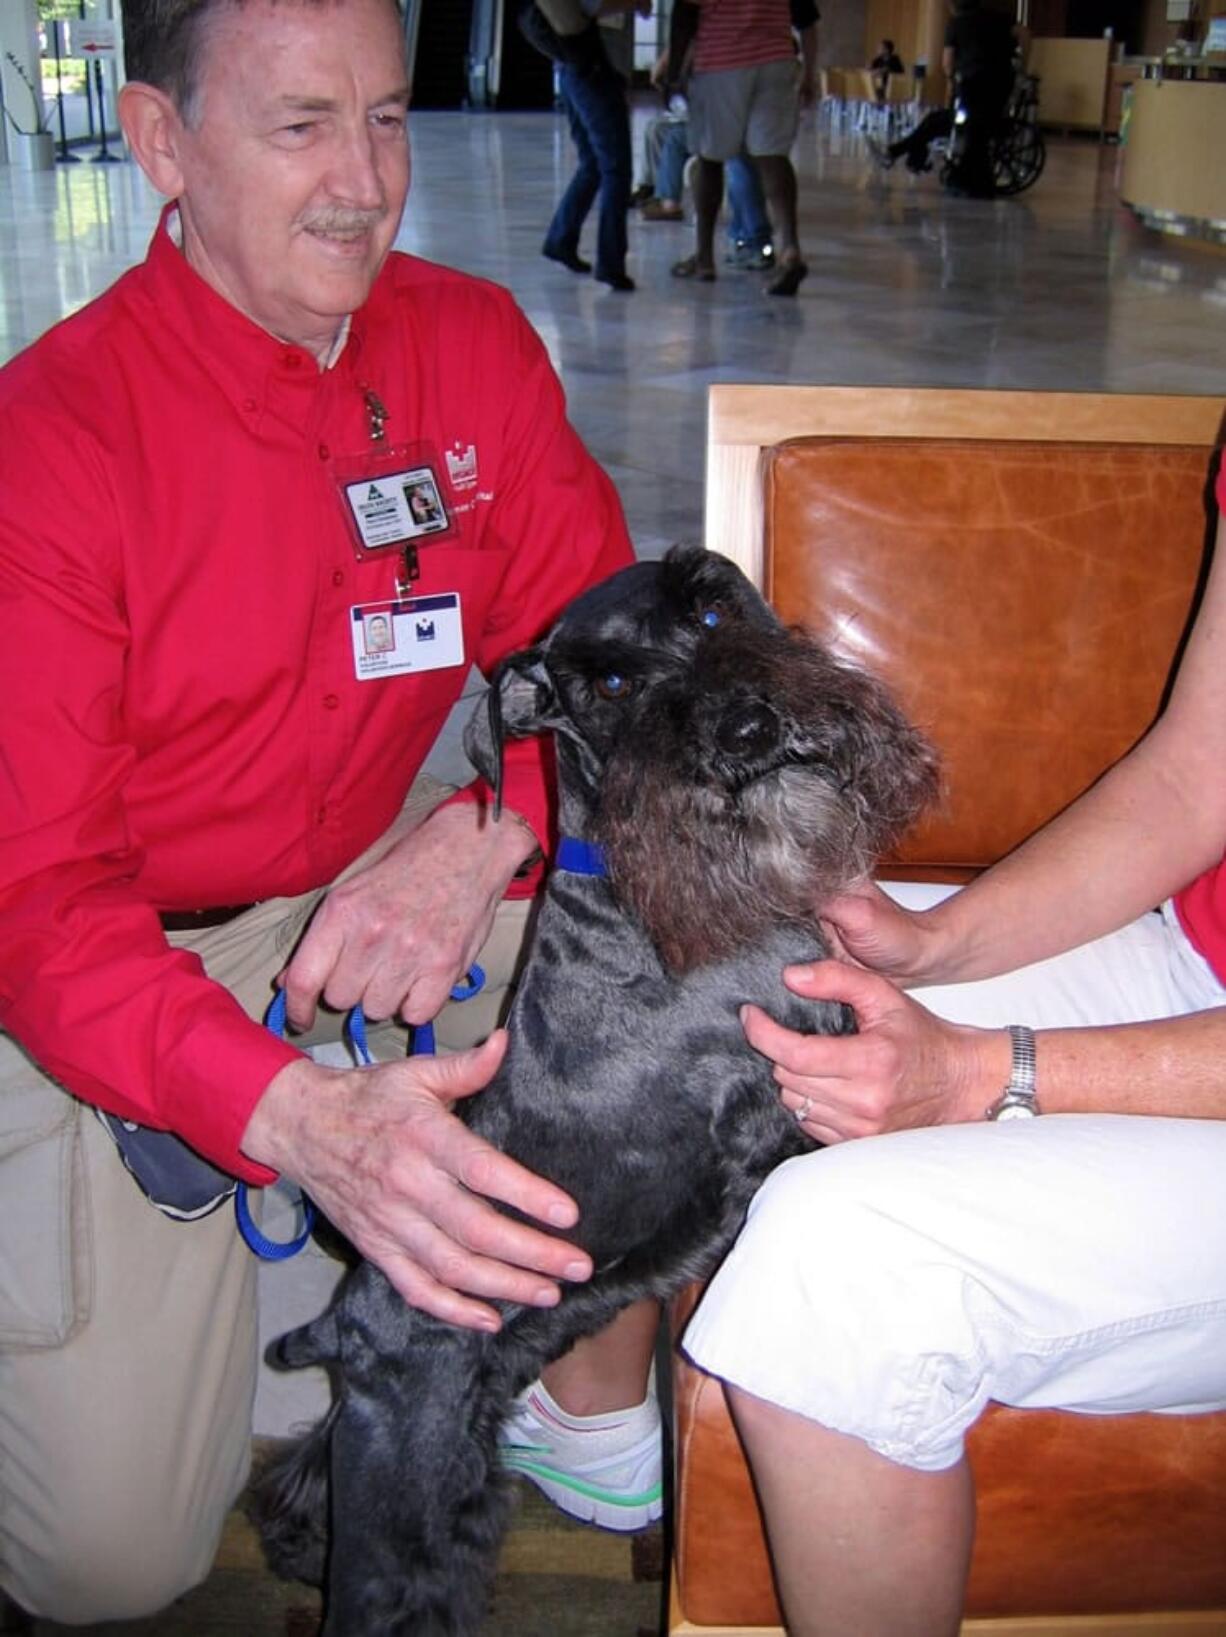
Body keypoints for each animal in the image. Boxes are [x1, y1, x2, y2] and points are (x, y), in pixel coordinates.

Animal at [253, 546, 929, 1637]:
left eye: (711, 607)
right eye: (609, 684)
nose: (745, 728)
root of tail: (346, 1321)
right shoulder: (784, 1115)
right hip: (407, 1475)